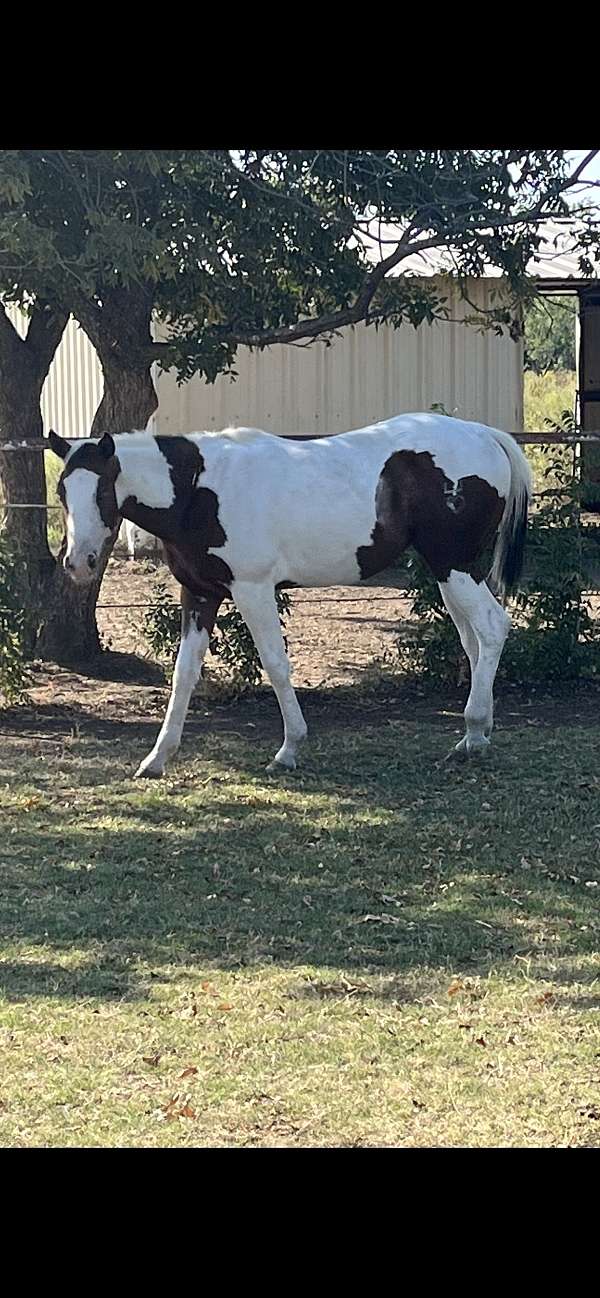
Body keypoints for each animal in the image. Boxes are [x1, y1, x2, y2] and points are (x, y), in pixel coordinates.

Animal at [49, 415, 532, 773]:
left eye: (102, 488)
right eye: (61, 490)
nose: (78, 562)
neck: (199, 490)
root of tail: (485, 435)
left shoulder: (253, 590)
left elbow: (276, 666)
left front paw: (289, 749)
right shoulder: (200, 594)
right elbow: (184, 674)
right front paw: (156, 759)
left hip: (454, 564)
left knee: (493, 628)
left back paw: (473, 729)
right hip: (449, 572)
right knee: (473, 640)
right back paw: (475, 734)